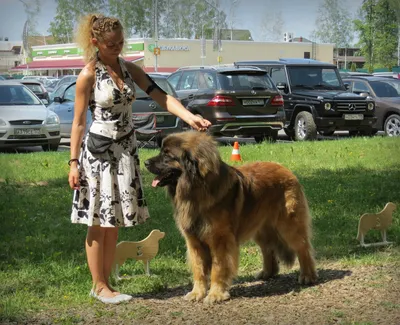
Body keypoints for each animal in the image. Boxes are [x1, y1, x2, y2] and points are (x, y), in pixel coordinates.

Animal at [145, 130, 318, 302]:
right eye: (161, 151)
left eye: (167, 155)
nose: (145, 162)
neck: (195, 190)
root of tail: (286, 169)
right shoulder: (194, 241)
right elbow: (198, 269)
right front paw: (197, 293)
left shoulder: (220, 240)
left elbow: (218, 268)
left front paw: (215, 294)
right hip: (260, 228)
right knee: (267, 248)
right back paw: (267, 273)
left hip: (288, 226)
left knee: (302, 248)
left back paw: (307, 276)